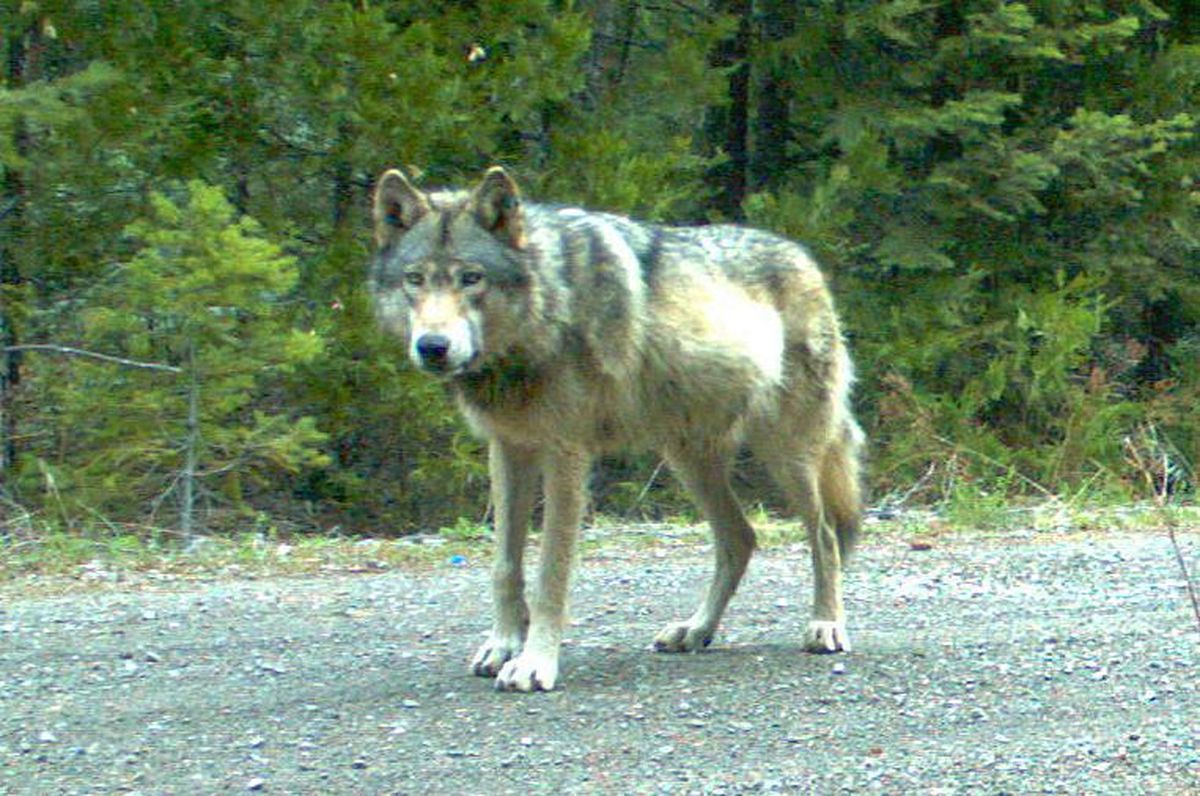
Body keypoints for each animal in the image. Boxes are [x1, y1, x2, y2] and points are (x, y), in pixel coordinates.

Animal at [367, 166, 864, 691]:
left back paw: (826, 624)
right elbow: (505, 565)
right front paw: (502, 645)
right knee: (740, 538)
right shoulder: (508, 449)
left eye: (471, 278)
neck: (547, 308)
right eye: (415, 280)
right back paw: (695, 631)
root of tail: (806, 258)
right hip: (688, 459)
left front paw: (534, 663)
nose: (432, 346)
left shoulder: (565, 454)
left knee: (825, 534)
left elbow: (550, 573)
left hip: (787, 455)